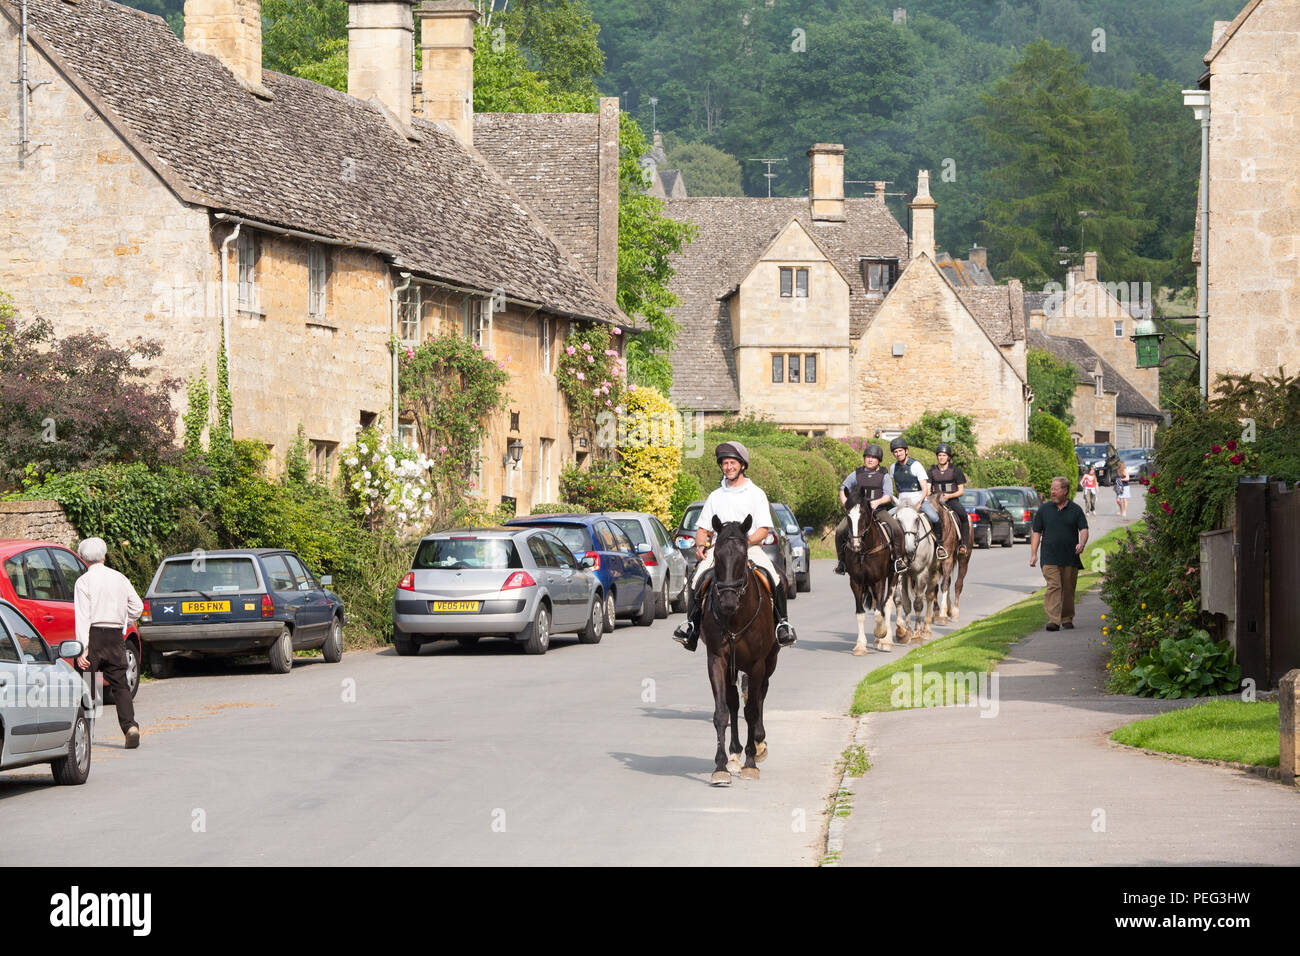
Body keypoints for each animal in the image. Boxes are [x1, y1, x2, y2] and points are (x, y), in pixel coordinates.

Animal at [700, 514, 780, 786]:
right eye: (716, 553)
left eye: (743, 553)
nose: (727, 602)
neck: (735, 618)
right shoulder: (717, 661)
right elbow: (722, 712)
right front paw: (721, 767)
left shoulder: (756, 664)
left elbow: (753, 709)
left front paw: (751, 762)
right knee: (735, 703)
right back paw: (734, 753)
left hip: (769, 661)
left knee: (760, 695)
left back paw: (759, 742)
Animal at [843, 485, 897, 655]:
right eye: (847, 514)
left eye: (862, 513)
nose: (855, 545)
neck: (864, 551)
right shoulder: (856, 582)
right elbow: (861, 613)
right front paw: (860, 645)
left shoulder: (879, 580)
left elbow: (880, 612)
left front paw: (881, 633)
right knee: (876, 603)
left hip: (893, 576)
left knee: (887, 604)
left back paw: (886, 641)